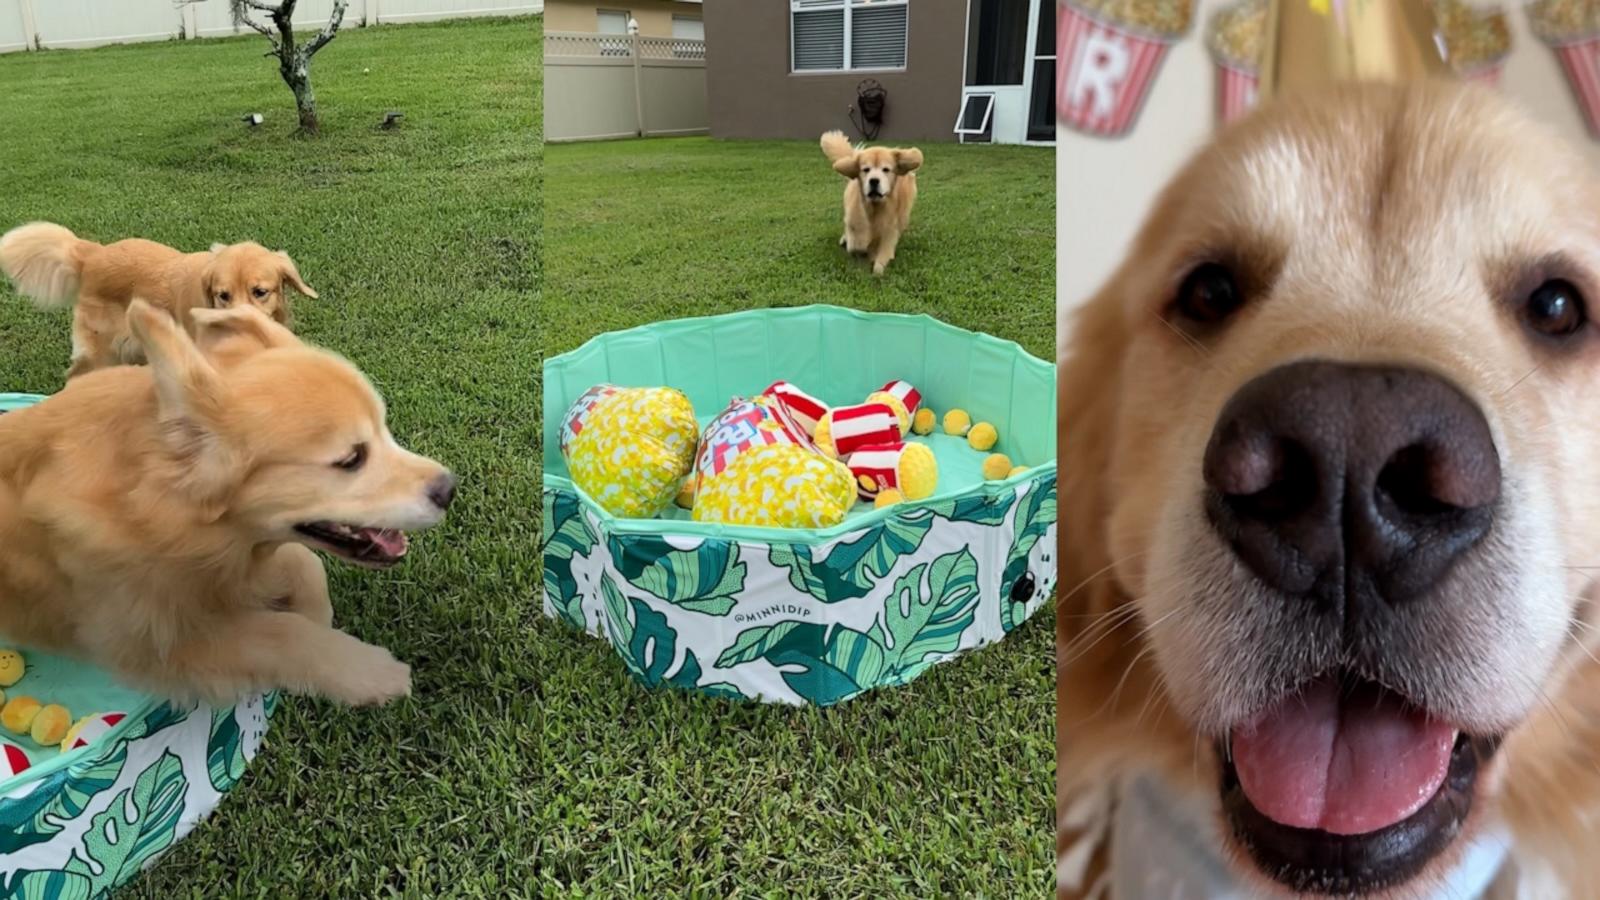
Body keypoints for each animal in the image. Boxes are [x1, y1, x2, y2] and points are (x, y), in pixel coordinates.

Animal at [0, 299, 457, 701]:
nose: (449, 489)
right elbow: (280, 631)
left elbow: (303, 563)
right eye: (351, 459)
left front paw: (317, 615)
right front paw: (368, 671)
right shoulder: (154, 644)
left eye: (385, 429)